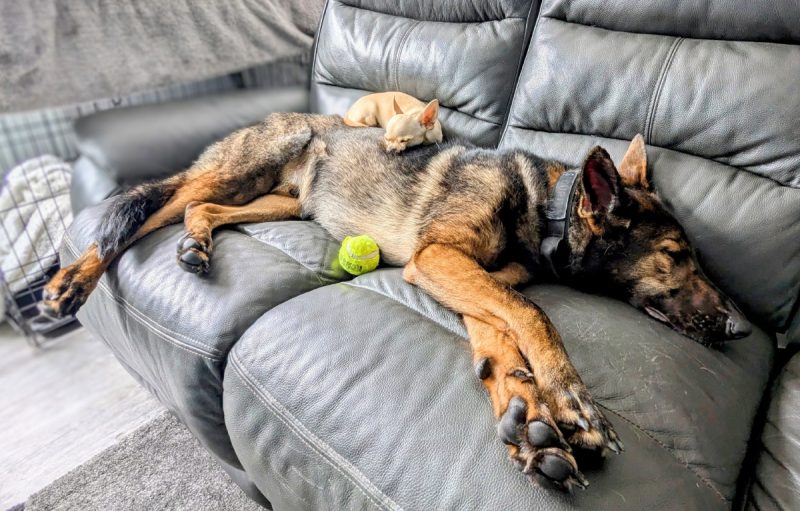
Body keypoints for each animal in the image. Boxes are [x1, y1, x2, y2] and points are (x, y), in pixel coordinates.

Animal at [40, 113, 752, 492]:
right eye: (676, 255)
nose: (741, 328)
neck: (543, 209)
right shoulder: (436, 261)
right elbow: (534, 316)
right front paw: (570, 400)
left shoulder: (464, 279)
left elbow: (501, 338)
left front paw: (525, 416)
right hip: (241, 171)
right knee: (149, 207)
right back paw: (73, 278)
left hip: (283, 202)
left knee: (197, 210)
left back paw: (195, 245)